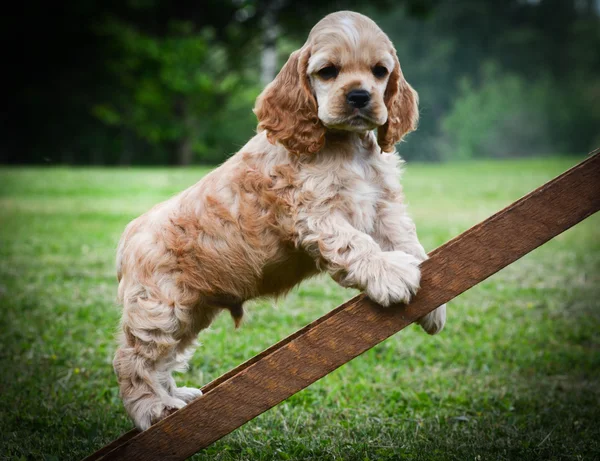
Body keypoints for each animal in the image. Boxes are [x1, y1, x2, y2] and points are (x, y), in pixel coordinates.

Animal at [115, 10, 446, 430]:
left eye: (380, 71)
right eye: (328, 71)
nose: (359, 96)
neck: (346, 146)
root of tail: (130, 235)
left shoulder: (383, 207)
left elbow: (407, 241)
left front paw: (432, 304)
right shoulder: (316, 215)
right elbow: (357, 244)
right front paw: (390, 276)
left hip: (192, 310)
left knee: (164, 358)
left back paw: (176, 397)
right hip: (161, 309)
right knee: (134, 360)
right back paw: (152, 409)